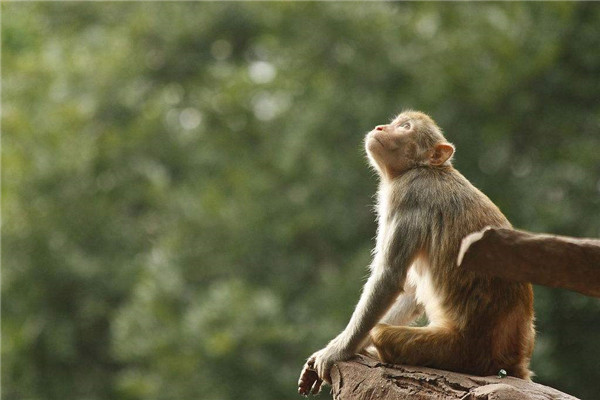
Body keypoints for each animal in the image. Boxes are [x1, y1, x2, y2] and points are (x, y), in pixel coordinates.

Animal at [298, 110, 536, 396]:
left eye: (405, 127)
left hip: (456, 351)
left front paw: (337, 352)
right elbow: (411, 290)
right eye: (396, 123)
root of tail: (513, 359)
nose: (380, 127)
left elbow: (389, 278)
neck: (422, 169)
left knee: (383, 333)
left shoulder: (407, 196)